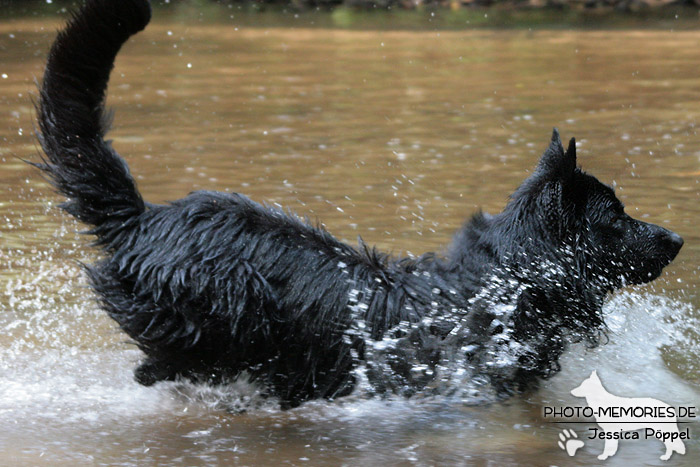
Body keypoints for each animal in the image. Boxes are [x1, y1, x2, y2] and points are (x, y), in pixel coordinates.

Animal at [34, 0, 684, 408]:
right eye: (616, 217)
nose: (679, 238)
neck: (503, 281)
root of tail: (145, 219)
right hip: (207, 334)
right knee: (160, 372)